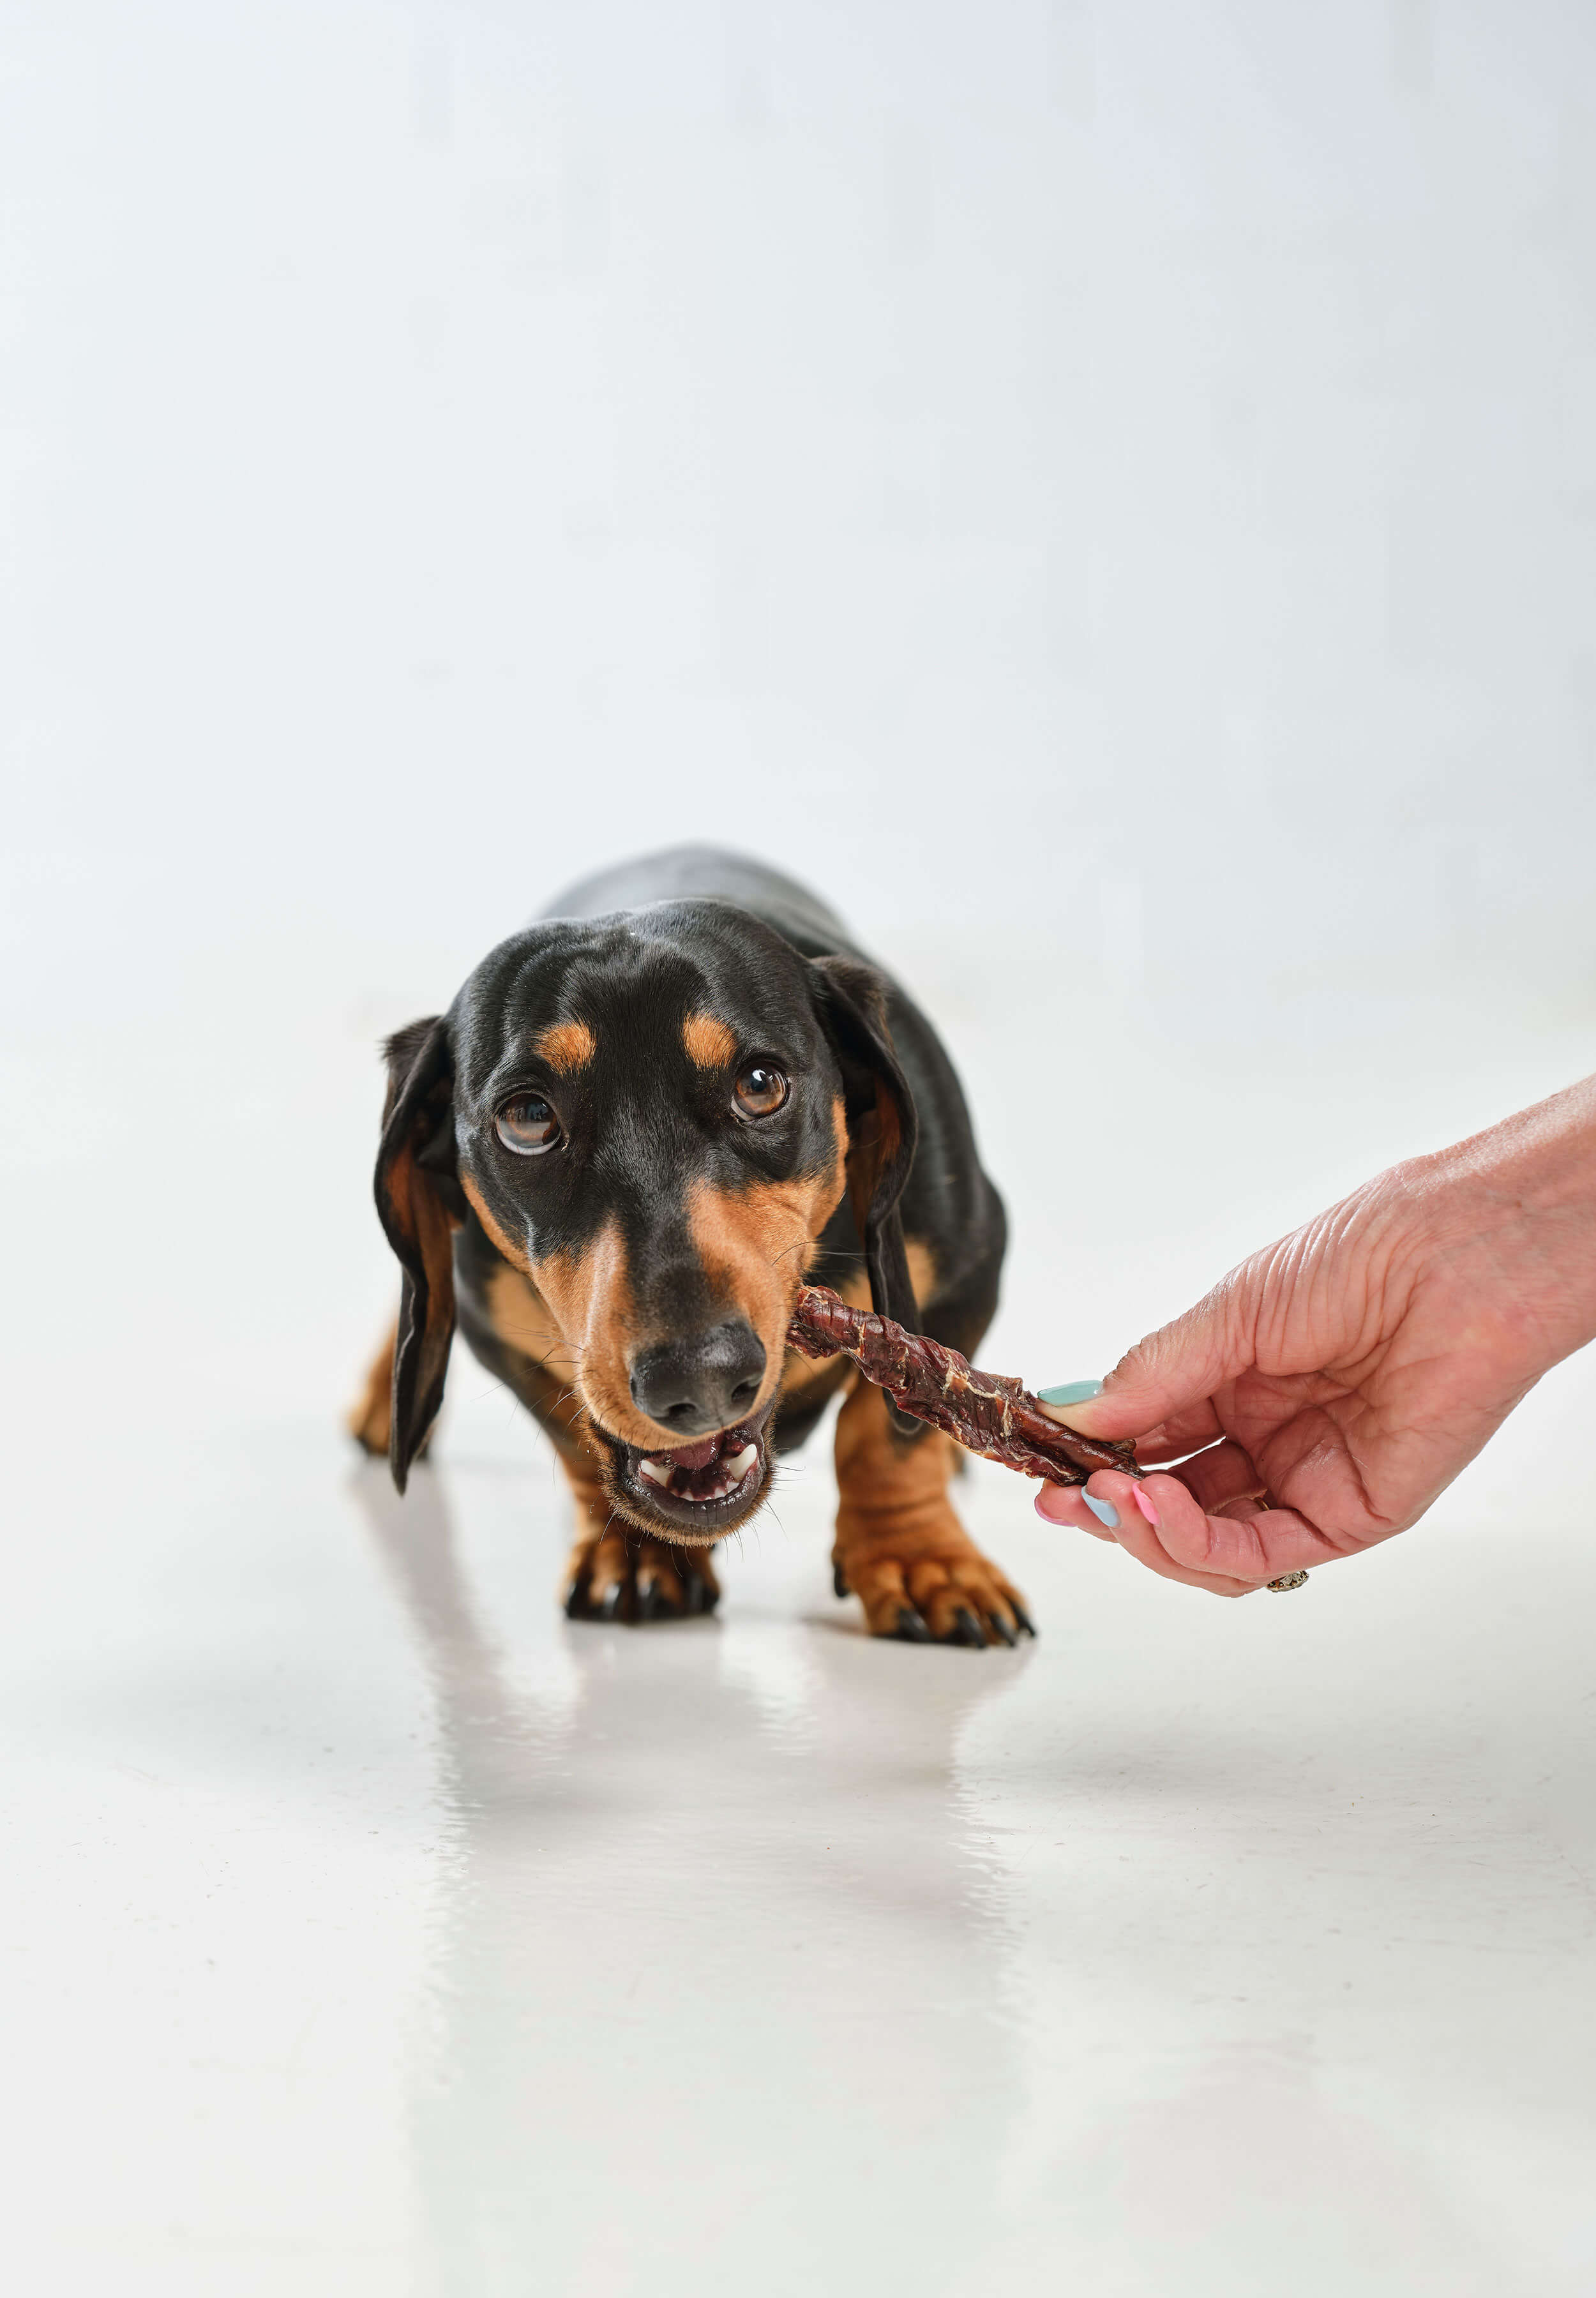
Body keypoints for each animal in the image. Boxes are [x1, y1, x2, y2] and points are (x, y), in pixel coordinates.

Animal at [352, 855, 1030, 1645]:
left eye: (761, 1084)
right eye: (527, 1117)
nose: (699, 1380)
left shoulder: (964, 1271)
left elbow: (886, 1440)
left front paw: (922, 1562)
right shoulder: (495, 1328)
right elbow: (576, 1443)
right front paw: (634, 1552)